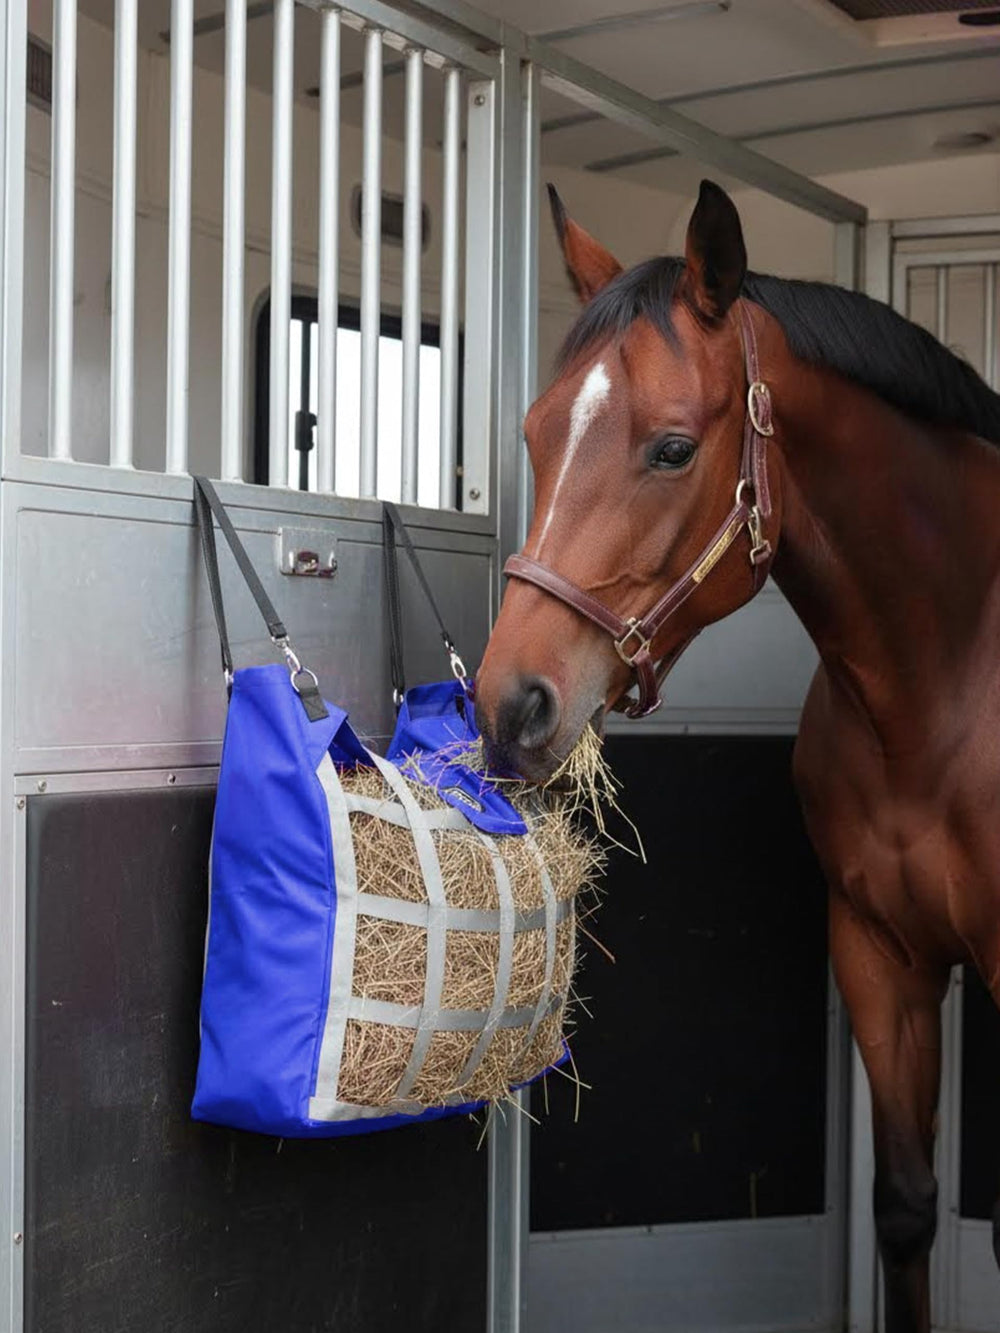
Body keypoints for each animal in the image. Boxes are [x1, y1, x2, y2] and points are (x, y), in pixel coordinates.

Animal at [473, 178, 1000, 1333]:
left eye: (672, 448)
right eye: (535, 432)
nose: (508, 704)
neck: (950, 674)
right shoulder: (880, 956)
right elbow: (904, 1207)